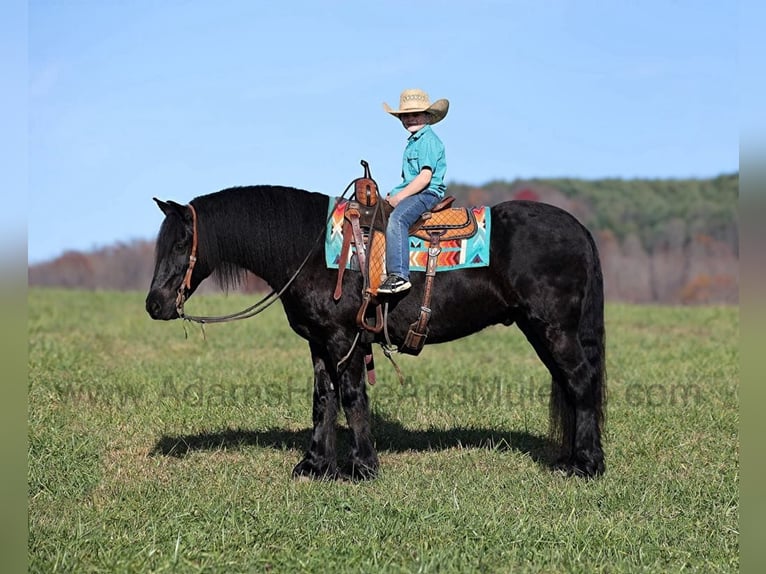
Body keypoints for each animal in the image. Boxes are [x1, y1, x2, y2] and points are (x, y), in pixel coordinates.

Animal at [147, 187, 608, 480]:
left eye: (180, 243)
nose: (154, 304)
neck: (318, 251)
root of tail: (579, 229)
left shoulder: (343, 339)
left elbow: (352, 398)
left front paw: (362, 467)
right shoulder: (319, 343)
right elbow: (323, 400)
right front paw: (314, 466)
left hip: (553, 330)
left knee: (581, 384)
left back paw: (586, 465)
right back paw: (572, 459)